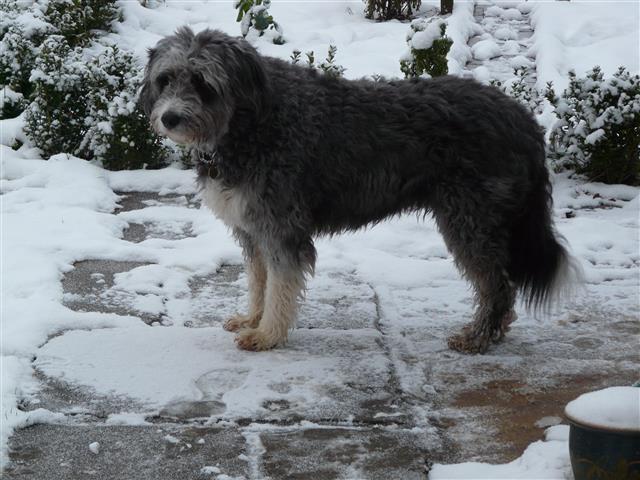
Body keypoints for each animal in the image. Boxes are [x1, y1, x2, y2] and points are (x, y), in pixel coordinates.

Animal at [139, 28, 576, 354]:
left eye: (202, 82)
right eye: (166, 79)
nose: (170, 118)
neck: (250, 121)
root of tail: (522, 118)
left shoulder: (280, 227)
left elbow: (280, 285)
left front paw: (267, 335)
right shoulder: (252, 228)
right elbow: (259, 281)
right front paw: (252, 318)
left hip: (471, 219)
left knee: (497, 284)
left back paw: (479, 336)